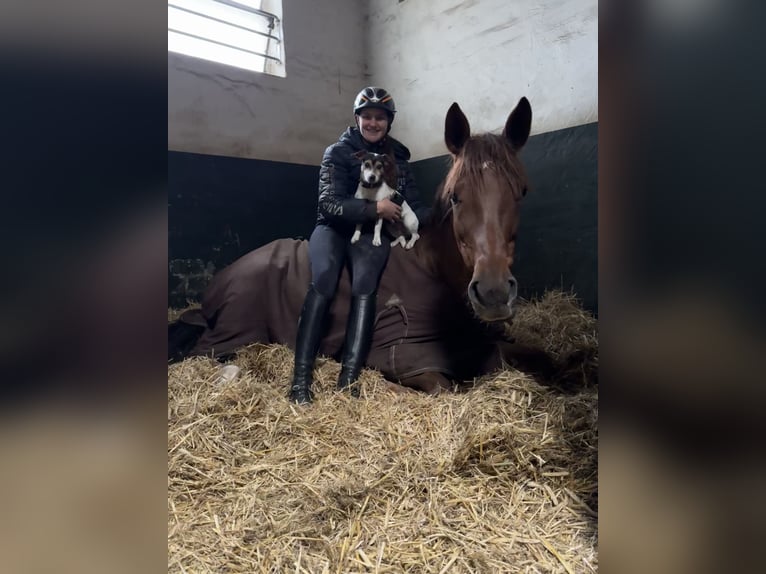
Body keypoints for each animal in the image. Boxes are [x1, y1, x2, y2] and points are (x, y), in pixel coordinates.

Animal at [169, 97, 532, 394]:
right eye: (456, 197)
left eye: (522, 192)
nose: (494, 293)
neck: (431, 268)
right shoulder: (407, 357)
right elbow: (444, 389)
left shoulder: (480, 343)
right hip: (234, 330)